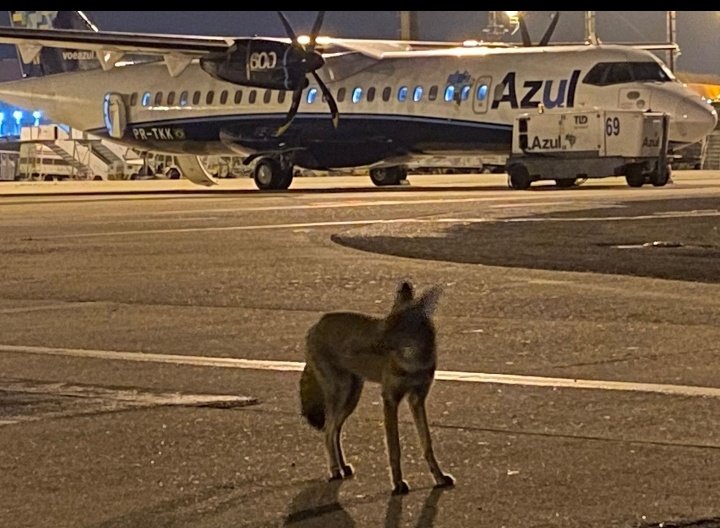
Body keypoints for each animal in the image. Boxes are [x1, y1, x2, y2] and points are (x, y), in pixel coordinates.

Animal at [300, 280, 455, 495]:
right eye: (386, 323)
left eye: (397, 327)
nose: (370, 343)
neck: (414, 364)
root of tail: (316, 324)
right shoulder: (390, 398)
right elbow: (394, 448)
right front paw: (398, 484)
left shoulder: (417, 399)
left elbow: (427, 444)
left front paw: (439, 477)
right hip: (341, 394)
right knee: (328, 431)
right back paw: (334, 470)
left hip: (351, 399)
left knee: (335, 431)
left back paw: (343, 467)